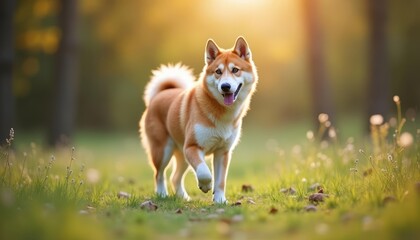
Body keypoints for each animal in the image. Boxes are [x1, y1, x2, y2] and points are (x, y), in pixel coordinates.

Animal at [141, 36, 258, 203]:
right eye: (218, 71)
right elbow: (204, 171)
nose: (225, 86)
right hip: (163, 150)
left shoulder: (222, 152)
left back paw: (183, 198)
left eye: (235, 70)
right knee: (159, 174)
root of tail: (160, 94)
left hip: (182, 155)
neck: (222, 113)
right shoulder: (192, 147)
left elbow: (220, 180)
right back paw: (162, 194)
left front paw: (220, 199)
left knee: (175, 177)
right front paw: (205, 186)